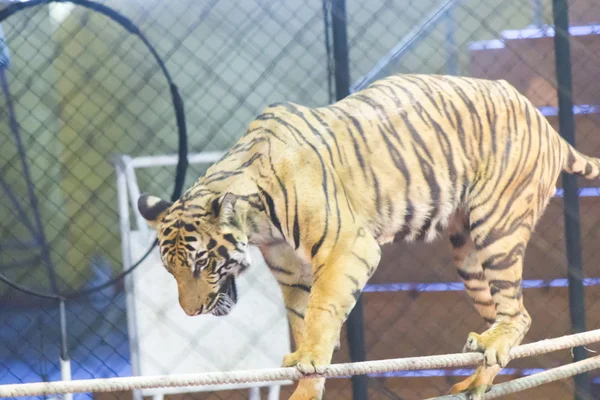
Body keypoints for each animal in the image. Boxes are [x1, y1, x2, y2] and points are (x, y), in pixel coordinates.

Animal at [136, 73, 600, 398]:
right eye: (171, 271)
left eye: (202, 262)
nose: (191, 312)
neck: (258, 223)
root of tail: (546, 123)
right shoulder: (290, 271)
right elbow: (301, 317)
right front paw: (306, 380)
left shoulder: (347, 246)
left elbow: (322, 308)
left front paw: (311, 358)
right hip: (468, 251)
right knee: (505, 315)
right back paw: (475, 380)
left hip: (497, 228)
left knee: (519, 313)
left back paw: (490, 352)